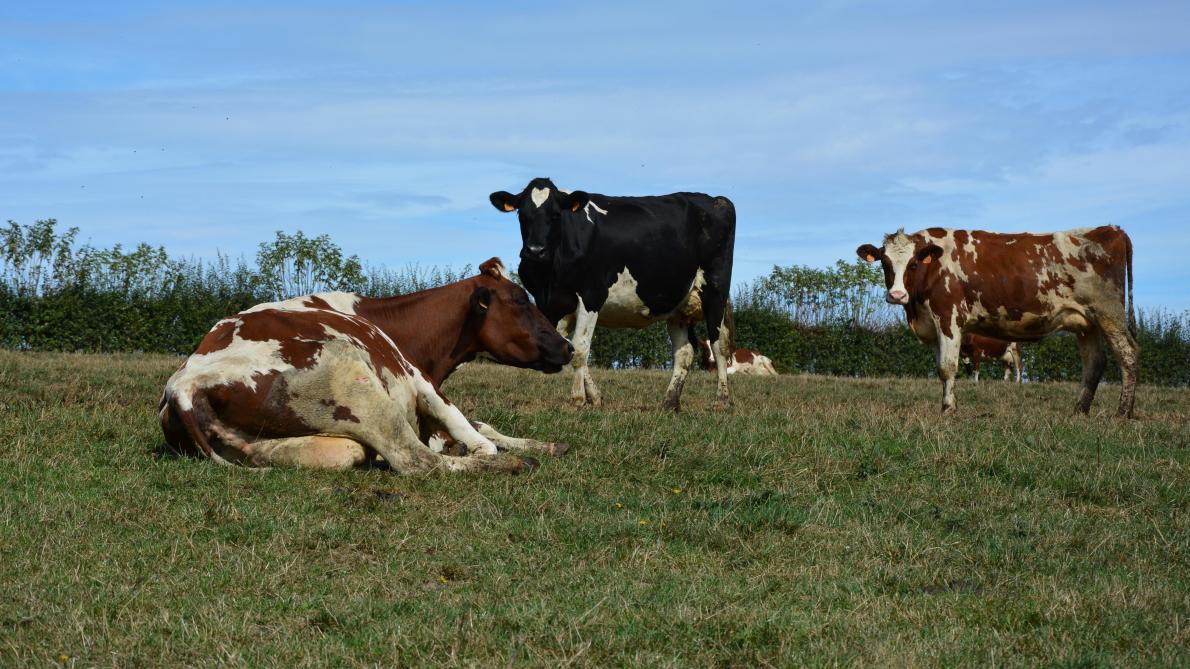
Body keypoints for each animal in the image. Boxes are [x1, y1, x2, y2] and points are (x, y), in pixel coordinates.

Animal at [159, 258, 575, 471]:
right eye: (521, 301)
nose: (568, 347)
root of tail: (183, 386)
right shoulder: (419, 378)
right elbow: (475, 435)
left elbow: (481, 425)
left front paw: (546, 444)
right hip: (353, 378)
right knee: (417, 460)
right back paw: (514, 464)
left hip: (300, 446)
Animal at [485, 177, 733, 409]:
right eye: (522, 214)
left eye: (555, 215)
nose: (535, 250)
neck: (550, 273)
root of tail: (715, 199)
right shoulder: (551, 303)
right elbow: (567, 346)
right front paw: (595, 397)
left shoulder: (591, 296)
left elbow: (580, 349)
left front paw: (578, 399)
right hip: (678, 307)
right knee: (685, 352)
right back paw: (670, 403)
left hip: (715, 292)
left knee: (719, 345)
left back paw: (721, 400)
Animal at [856, 226, 1132, 419]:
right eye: (885, 263)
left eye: (913, 264)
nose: (896, 295)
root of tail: (1111, 229)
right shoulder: (934, 327)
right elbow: (941, 369)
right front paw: (949, 405)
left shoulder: (949, 318)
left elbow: (947, 367)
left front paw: (948, 410)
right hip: (1086, 323)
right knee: (1094, 363)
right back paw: (1080, 410)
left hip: (1109, 313)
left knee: (1127, 354)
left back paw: (1123, 412)